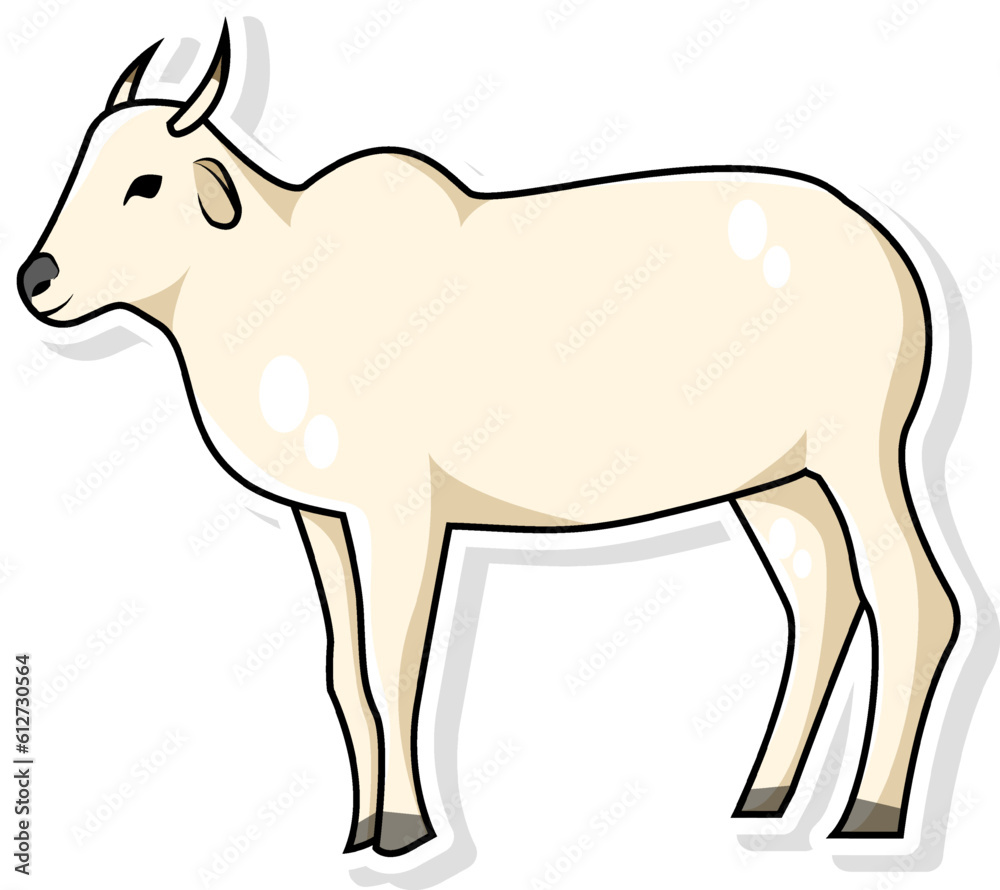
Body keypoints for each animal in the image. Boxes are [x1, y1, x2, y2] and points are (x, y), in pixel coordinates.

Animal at [17, 23, 960, 856]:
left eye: (145, 183)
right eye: (82, 166)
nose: (36, 279)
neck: (273, 279)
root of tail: (892, 256)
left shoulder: (401, 511)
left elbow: (393, 666)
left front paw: (402, 827)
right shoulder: (320, 517)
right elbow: (343, 674)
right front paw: (358, 828)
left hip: (856, 453)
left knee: (913, 597)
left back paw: (870, 812)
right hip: (775, 481)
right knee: (823, 596)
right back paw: (765, 793)